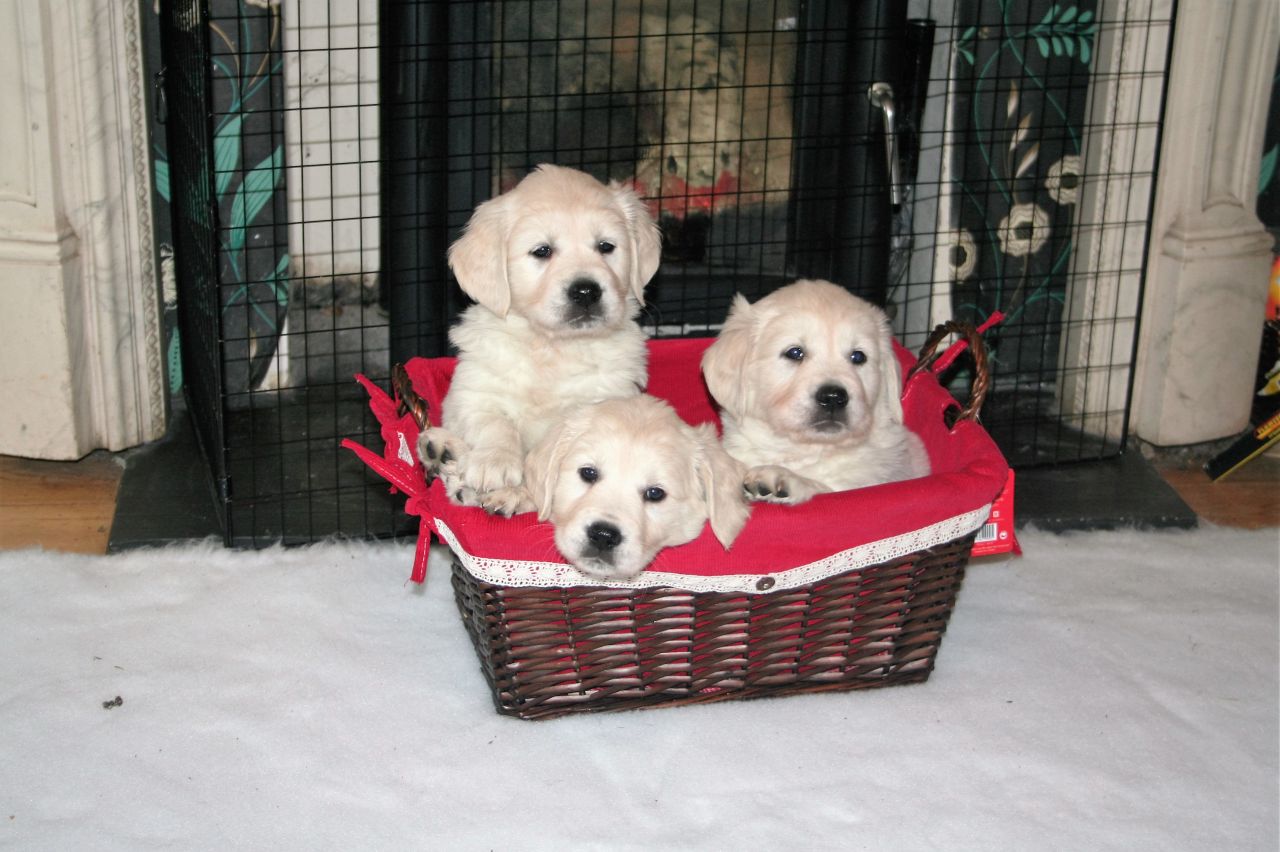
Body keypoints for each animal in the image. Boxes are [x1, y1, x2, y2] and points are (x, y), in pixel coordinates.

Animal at [417, 162, 660, 501]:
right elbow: (493, 421)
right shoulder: (472, 392)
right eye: (542, 251)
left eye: (606, 247)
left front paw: (513, 494)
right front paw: (494, 461)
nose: (586, 291)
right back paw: (443, 451)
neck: (551, 347)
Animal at [701, 278, 931, 504]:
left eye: (858, 357)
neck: (808, 450)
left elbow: (826, 488)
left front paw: (784, 477)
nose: (833, 397)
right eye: (794, 353)